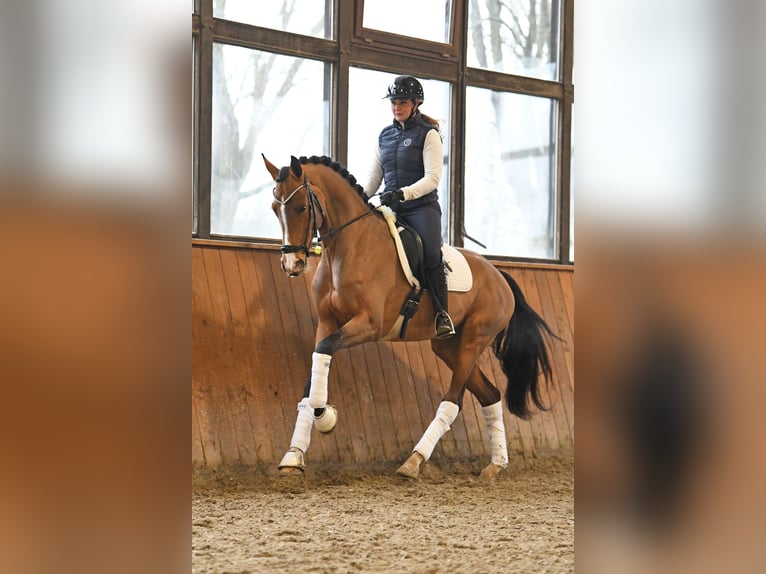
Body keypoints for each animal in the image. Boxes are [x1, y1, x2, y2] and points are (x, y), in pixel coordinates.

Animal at [260, 154, 556, 482]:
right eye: (274, 208)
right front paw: (294, 453)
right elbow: (315, 367)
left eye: (301, 207)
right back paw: (496, 464)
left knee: (453, 401)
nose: (292, 264)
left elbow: (323, 353)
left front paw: (325, 417)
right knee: (490, 394)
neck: (350, 247)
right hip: (448, 347)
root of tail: (499, 275)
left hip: (473, 341)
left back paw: (413, 461)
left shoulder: (369, 325)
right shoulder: (327, 323)